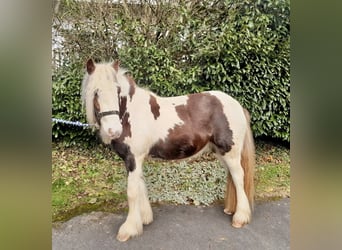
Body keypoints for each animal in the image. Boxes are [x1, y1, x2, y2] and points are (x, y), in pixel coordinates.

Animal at [81, 59, 254, 242]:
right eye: (95, 92)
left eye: (117, 91)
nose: (113, 130)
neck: (130, 114)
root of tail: (237, 105)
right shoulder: (134, 160)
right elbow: (141, 187)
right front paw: (144, 218)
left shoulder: (133, 158)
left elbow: (132, 192)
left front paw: (128, 229)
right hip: (221, 153)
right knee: (232, 177)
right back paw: (231, 210)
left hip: (231, 152)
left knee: (238, 177)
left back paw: (240, 217)